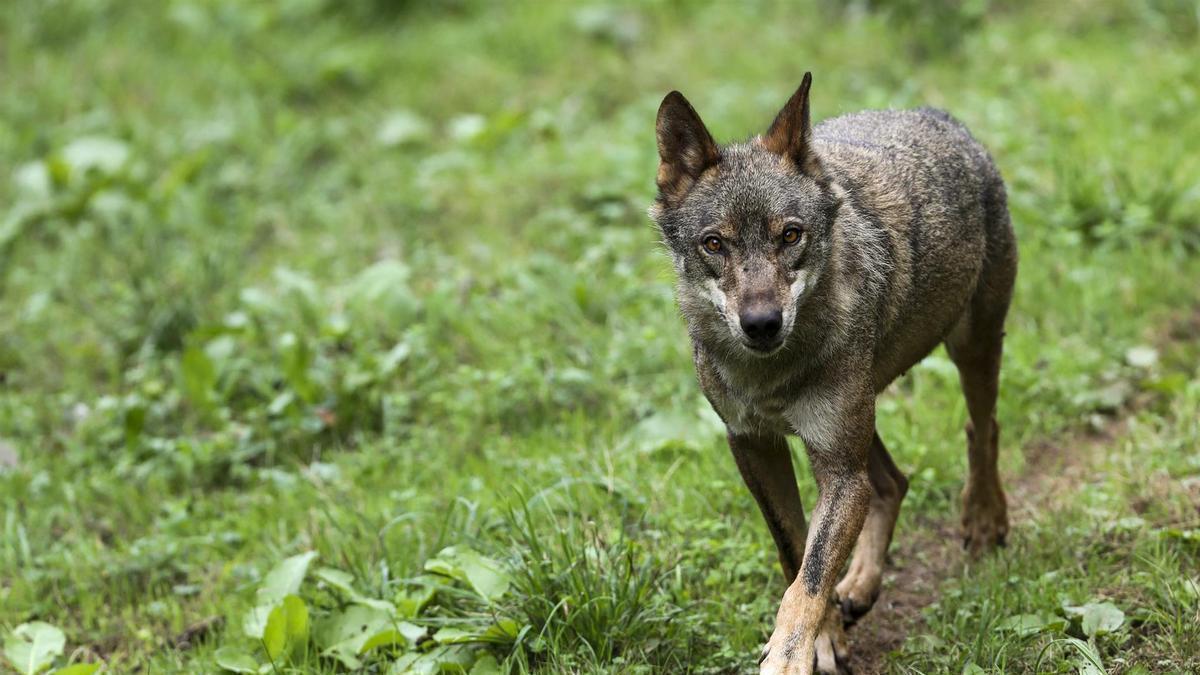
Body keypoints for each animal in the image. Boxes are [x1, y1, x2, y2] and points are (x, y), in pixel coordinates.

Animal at [652, 70, 1017, 667]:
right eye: (714, 244)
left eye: (790, 235)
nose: (761, 324)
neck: (771, 377)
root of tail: (934, 115)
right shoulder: (753, 446)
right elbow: (795, 552)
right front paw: (827, 638)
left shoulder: (839, 472)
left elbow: (810, 577)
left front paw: (791, 655)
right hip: (862, 418)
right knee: (893, 481)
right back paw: (863, 584)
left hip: (969, 349)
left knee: (981, 427)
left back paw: (984, 520)